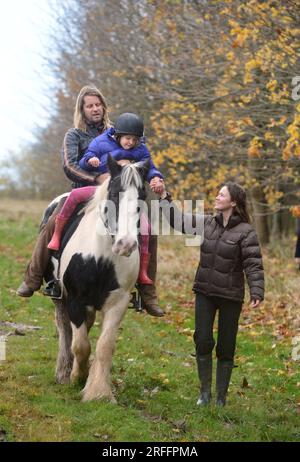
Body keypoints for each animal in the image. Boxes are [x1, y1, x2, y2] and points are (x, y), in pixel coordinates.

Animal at [50, 155, 151, 400]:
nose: (126, 244)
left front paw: (98, 391)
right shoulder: (75, 300)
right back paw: (63, 371)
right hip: (60, 298)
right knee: (65, 330)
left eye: (142, 195)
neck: (101, 257)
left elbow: (104, 346)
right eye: (114, 194)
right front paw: (77, 377)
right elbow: (81, 345)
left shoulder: (118, 302)